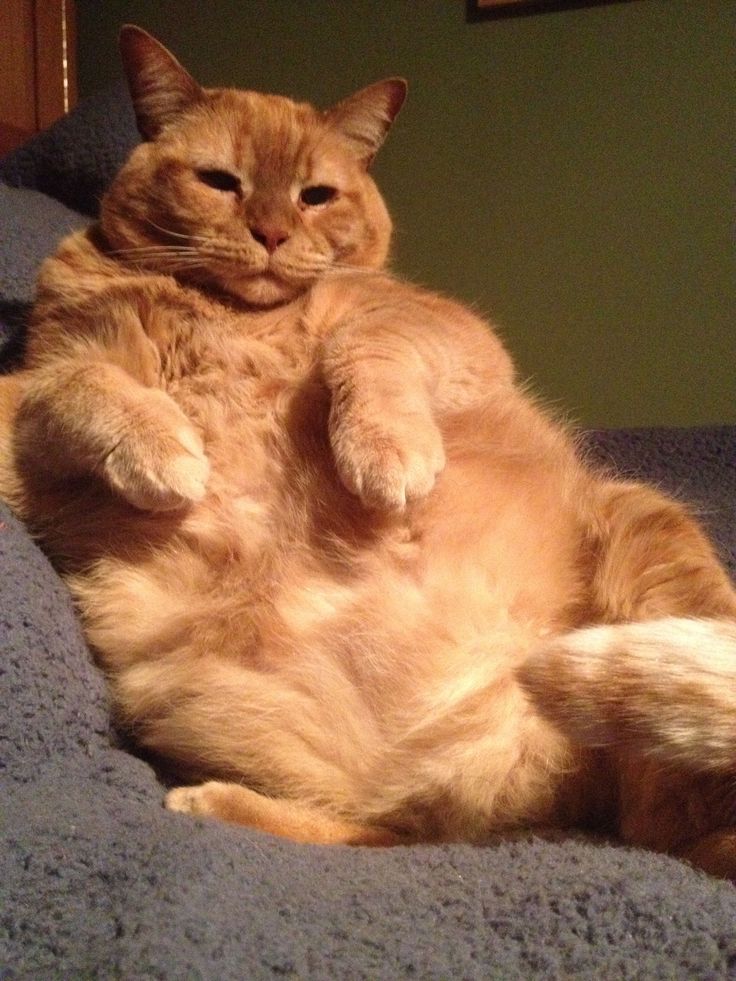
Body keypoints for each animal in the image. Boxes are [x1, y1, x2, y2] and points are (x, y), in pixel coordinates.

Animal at [1, 26, 736, 876]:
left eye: (315, 194)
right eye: (221, 181)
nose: (272, 232)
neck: (231, 314)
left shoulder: (453, 335)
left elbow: (365, 337)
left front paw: (382, 449)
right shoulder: (30, 399)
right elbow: (79, 384)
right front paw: (166, 448)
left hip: (650, 532)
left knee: (668, 828)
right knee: (401, 831)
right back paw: (210, 801)